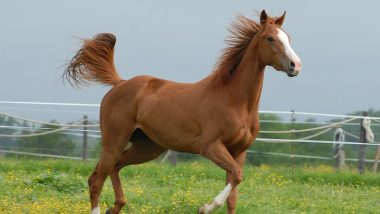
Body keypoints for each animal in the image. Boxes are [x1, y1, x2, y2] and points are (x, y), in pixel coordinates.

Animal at [63, 9, 302, 214]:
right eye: (270, 38)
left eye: (288, 38)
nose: (295, 65)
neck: (235, 101)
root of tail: (120, 83)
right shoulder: (211, 147)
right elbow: (237, 175)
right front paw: (204, 207)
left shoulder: (239, 151)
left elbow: (233, 194)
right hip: (114, 141)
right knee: (96, 179)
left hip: (148, 147)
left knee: (115, 167)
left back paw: (116, 206)